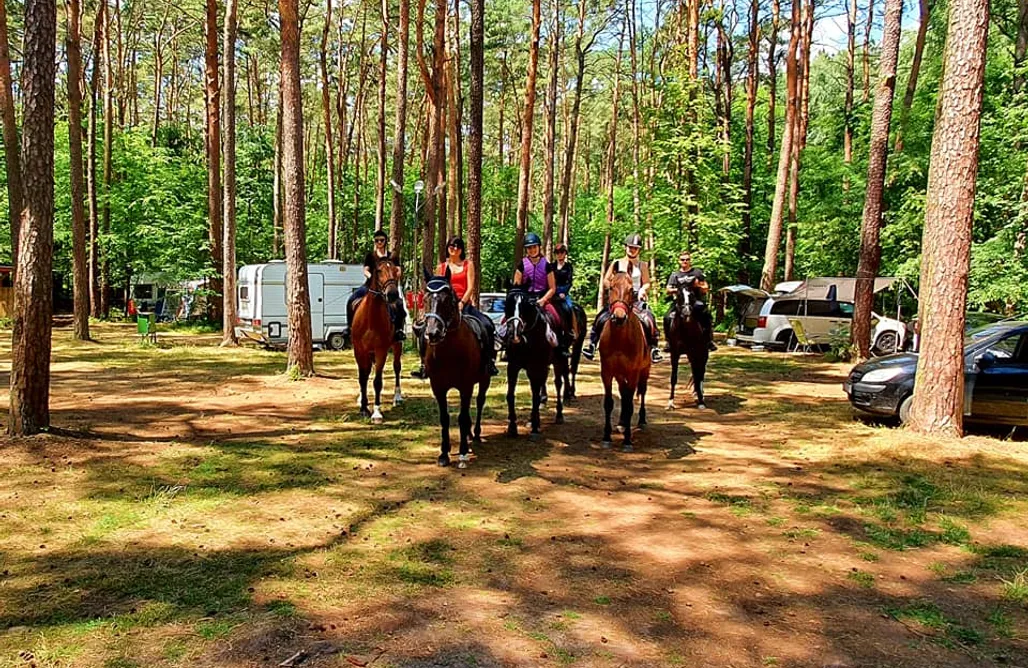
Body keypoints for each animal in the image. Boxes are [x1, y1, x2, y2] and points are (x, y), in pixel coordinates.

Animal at [351, 253, 402, 421]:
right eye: (378, 271)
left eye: (395, 270)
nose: (392, 294)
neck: (371, 318)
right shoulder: (359, 350)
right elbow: (363, 377)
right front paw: (363, 407)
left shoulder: (381, 350)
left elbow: (377, 381)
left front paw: (376, 413)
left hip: (397, 345)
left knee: (397, 367)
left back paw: (397, 397)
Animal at [421, 267, 493, 466]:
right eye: (425, 299)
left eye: (448, 299)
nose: (433, 333)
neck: (449, 351)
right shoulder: (438, 387)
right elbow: (445, 418)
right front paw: (444, 454)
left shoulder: (465, 386)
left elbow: (462, 417)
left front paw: (462, 452)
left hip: (484, 380)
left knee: (479, 402)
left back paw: (475, 434)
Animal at [596, 271, 649, 452]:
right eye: (611, 287)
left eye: (631, 290)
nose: (619, 317)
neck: (620, 339)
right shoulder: (607, 372)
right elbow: (609, 403)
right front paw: (606, 437)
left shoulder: (633, 373)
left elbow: (630, 404)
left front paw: (627, 441)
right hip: (619, 374)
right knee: (623, 392)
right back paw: (621, 423)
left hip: (645, 370)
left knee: (641, 392)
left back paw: (641, 421)